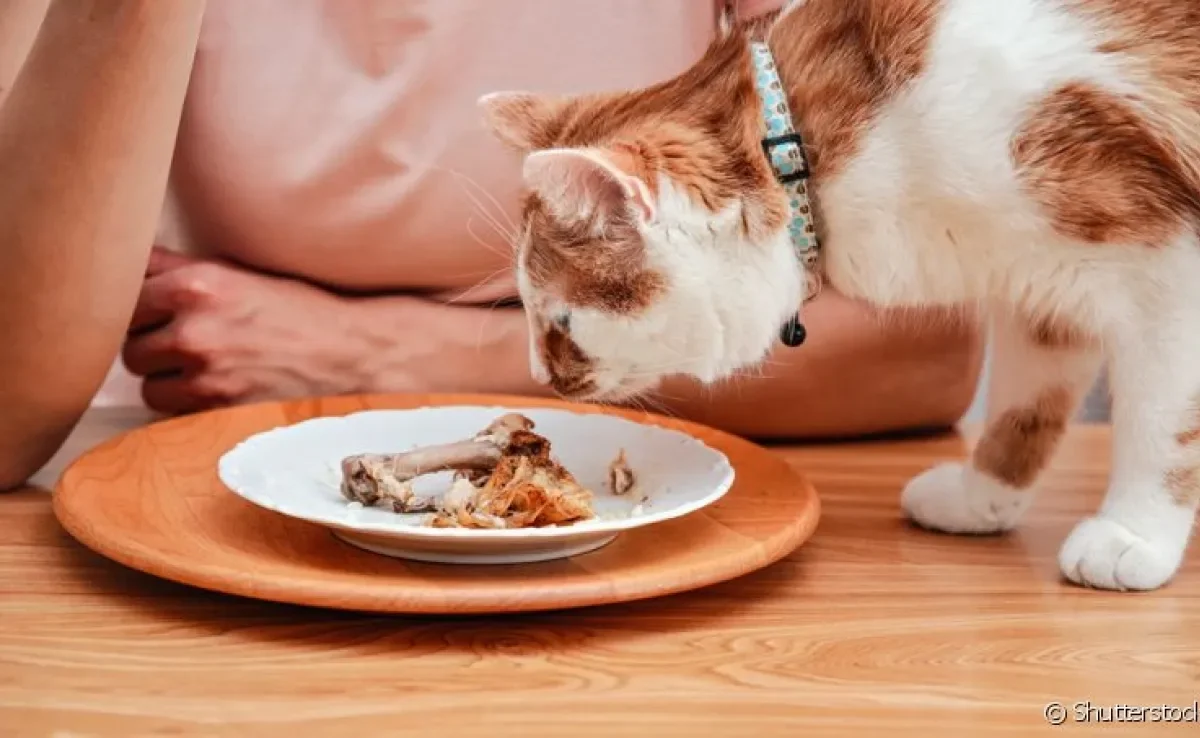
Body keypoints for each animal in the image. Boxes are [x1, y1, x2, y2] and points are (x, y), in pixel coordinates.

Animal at [475, 0, 1200, 592]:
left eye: (559, 321)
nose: (538, 375)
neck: (803, 147)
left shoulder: (1165, 264)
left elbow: (1162, 427)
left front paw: (1132, 534)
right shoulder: (1041, 290)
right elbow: (1023, 411)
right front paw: (981, 497)